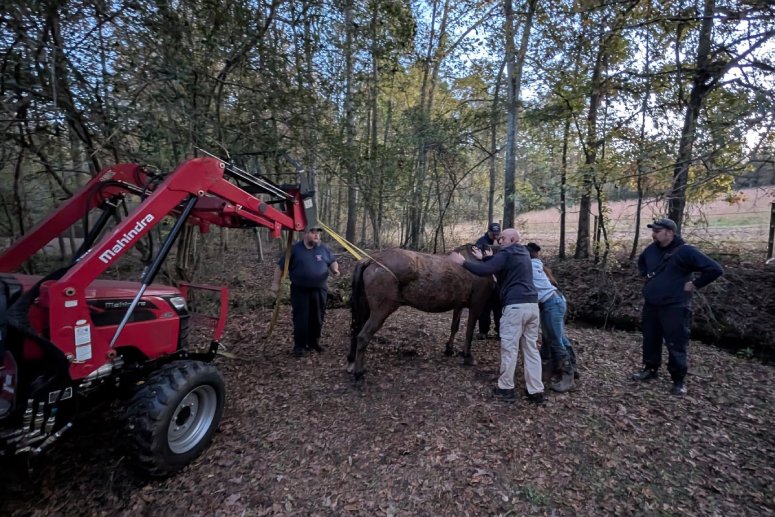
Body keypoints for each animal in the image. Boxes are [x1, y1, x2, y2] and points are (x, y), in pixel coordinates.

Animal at [347, 245, 496, 381]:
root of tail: (372, 260)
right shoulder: (476, 305)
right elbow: (469, 332)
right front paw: (467, 356)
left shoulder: (458, 305)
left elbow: (454, 327)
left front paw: (449, 349)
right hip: (381, 311)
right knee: (363, 336)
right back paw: (359, 372)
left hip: (365, 309)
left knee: (356, 332)